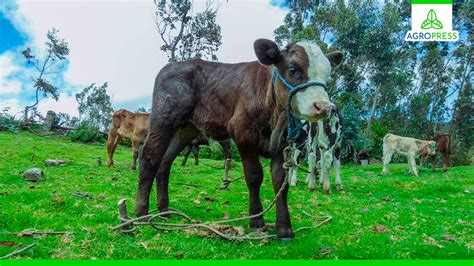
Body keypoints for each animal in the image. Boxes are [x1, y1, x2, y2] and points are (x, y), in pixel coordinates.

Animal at [135, 38, 342, 239]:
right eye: (293, 69)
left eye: (327, 74)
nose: (324, 107)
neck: (274, 116)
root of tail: (171, 66)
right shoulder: (242, 132)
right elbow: (254, 176)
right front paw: (256, 219)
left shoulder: (281, 145)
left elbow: (280, 182)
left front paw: (284, 229)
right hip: (164, 118)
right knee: (149, 157)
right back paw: (141, 215)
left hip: (186, 128)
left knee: (165, 162)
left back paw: (164, 211)